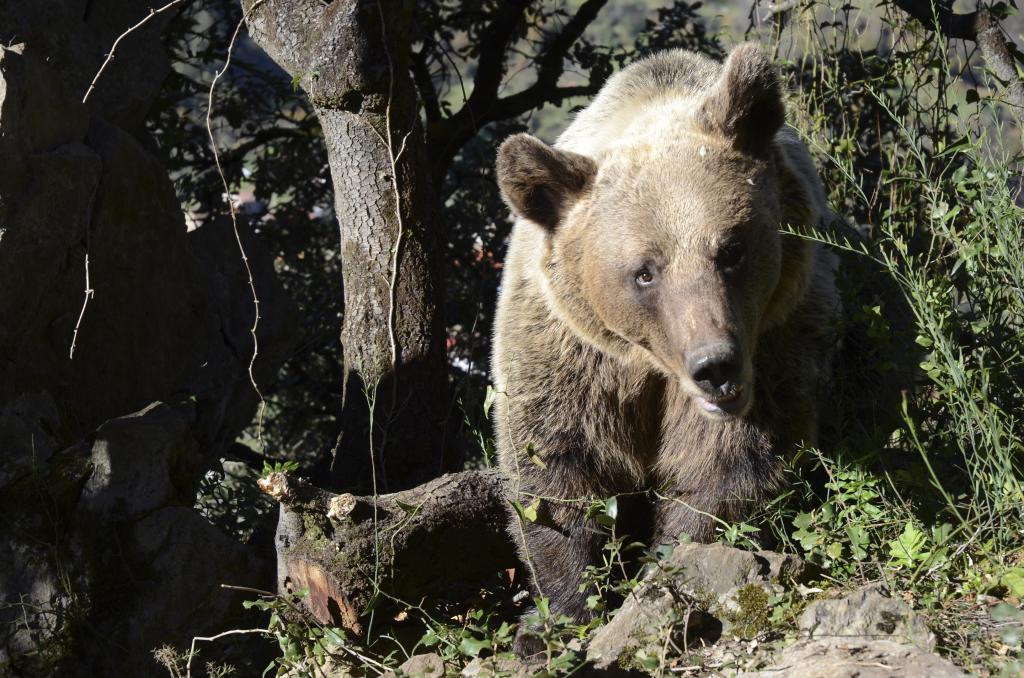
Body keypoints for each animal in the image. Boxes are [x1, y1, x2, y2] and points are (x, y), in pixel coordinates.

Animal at [490, 43, 839, 654]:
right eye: (644, 272)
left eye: (731, 249)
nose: (715, 367)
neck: (653, 365)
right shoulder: (572, 353)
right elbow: (555, 470)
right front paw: (558, 615)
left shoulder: (775, 342)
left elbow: (724, 467)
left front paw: (670, 571)